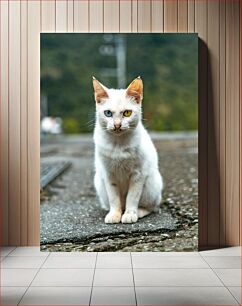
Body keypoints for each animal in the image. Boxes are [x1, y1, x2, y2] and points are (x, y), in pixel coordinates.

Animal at [92, 75, 163, 224]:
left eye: (127, 113)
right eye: (108, 113)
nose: (117, 125)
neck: (118, 145)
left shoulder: (138, 174)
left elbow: (132, 197)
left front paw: (130, 214)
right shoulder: (108, 175)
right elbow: (114, 198)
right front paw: (114, 214)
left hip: (152, 184)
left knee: (152, 207)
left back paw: (139, 212)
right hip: (99, 183)